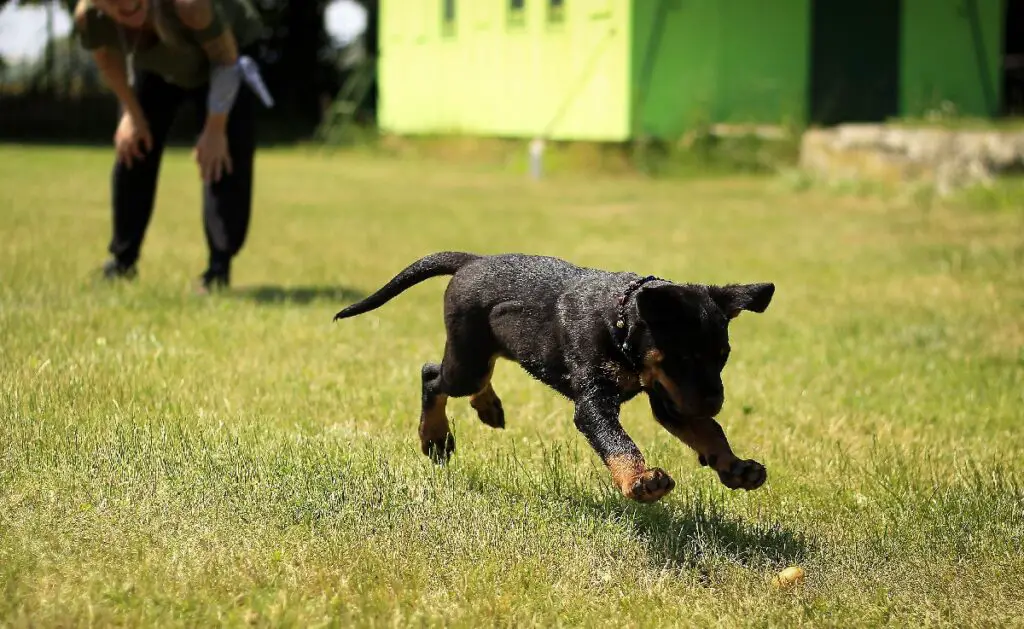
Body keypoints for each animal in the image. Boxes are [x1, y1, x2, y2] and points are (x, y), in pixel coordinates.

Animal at [335, 254, 774, 506]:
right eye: (683, 358)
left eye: (723, 357)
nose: (715, 402)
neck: (619, 322)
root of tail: (473, 260)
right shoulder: (595, 403)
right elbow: (619, 443)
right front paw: (639, 481)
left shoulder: (670, 398)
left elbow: (709, 431)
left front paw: (735, 467)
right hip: (467, 359)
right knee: (432, 375)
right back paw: (436, 437)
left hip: (487, 349)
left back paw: (487, 407)